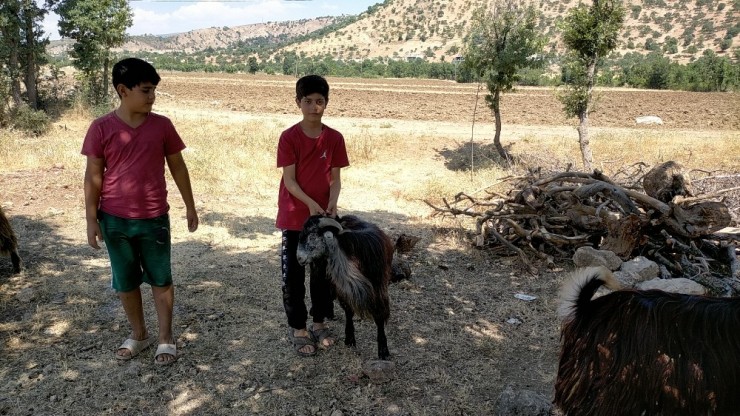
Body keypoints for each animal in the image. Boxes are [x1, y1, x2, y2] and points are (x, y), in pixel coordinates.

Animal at [298, 216, 396, 360]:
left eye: (313, 236)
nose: (299, 258)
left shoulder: (379, 288)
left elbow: (379, 316)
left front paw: (383, 349)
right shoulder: (343, 289)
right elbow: (348, 311)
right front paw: (349, 338)